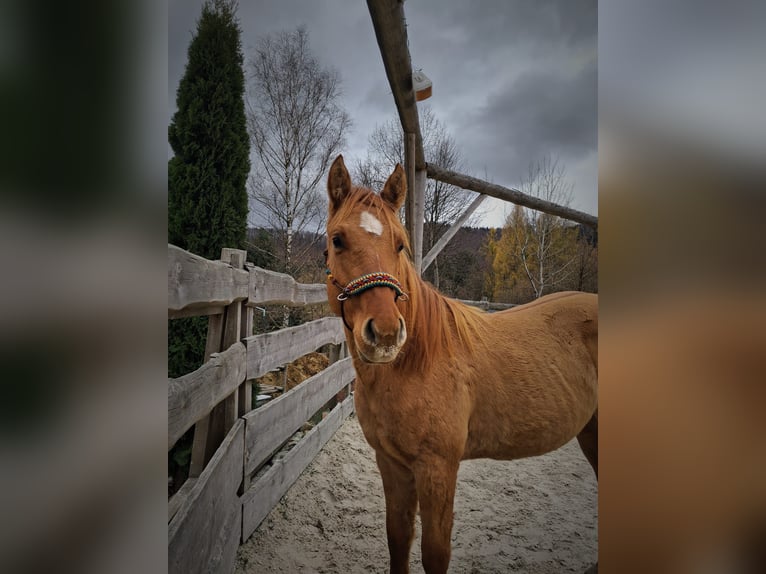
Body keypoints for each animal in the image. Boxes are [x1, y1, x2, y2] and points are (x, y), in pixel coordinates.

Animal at [324, 155, 598, 574]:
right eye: (338, 240)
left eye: (400, 244)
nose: (385, 334)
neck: (414, 364)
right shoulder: (392, 464)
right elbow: (398, 539)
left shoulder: (438, 468)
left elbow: (435, 553)